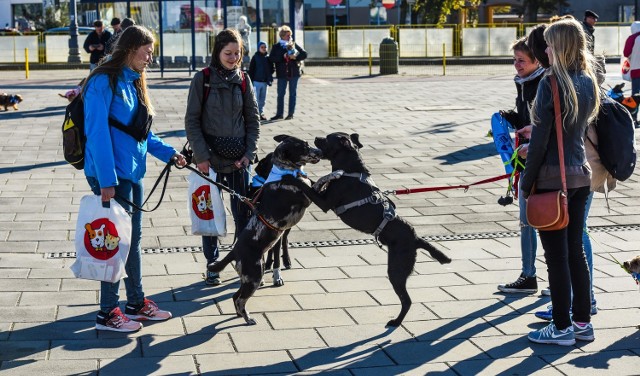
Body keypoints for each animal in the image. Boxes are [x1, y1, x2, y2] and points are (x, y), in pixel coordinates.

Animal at [282, 132, 452, 326]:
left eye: (327, 138)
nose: (316, 138)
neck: (350, 170)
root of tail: (416, 239)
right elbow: (312, 183)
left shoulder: (325, 202)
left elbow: (306, 186)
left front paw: (291, 178)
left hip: (396, 268)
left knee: (406, 300)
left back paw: (396, 321)